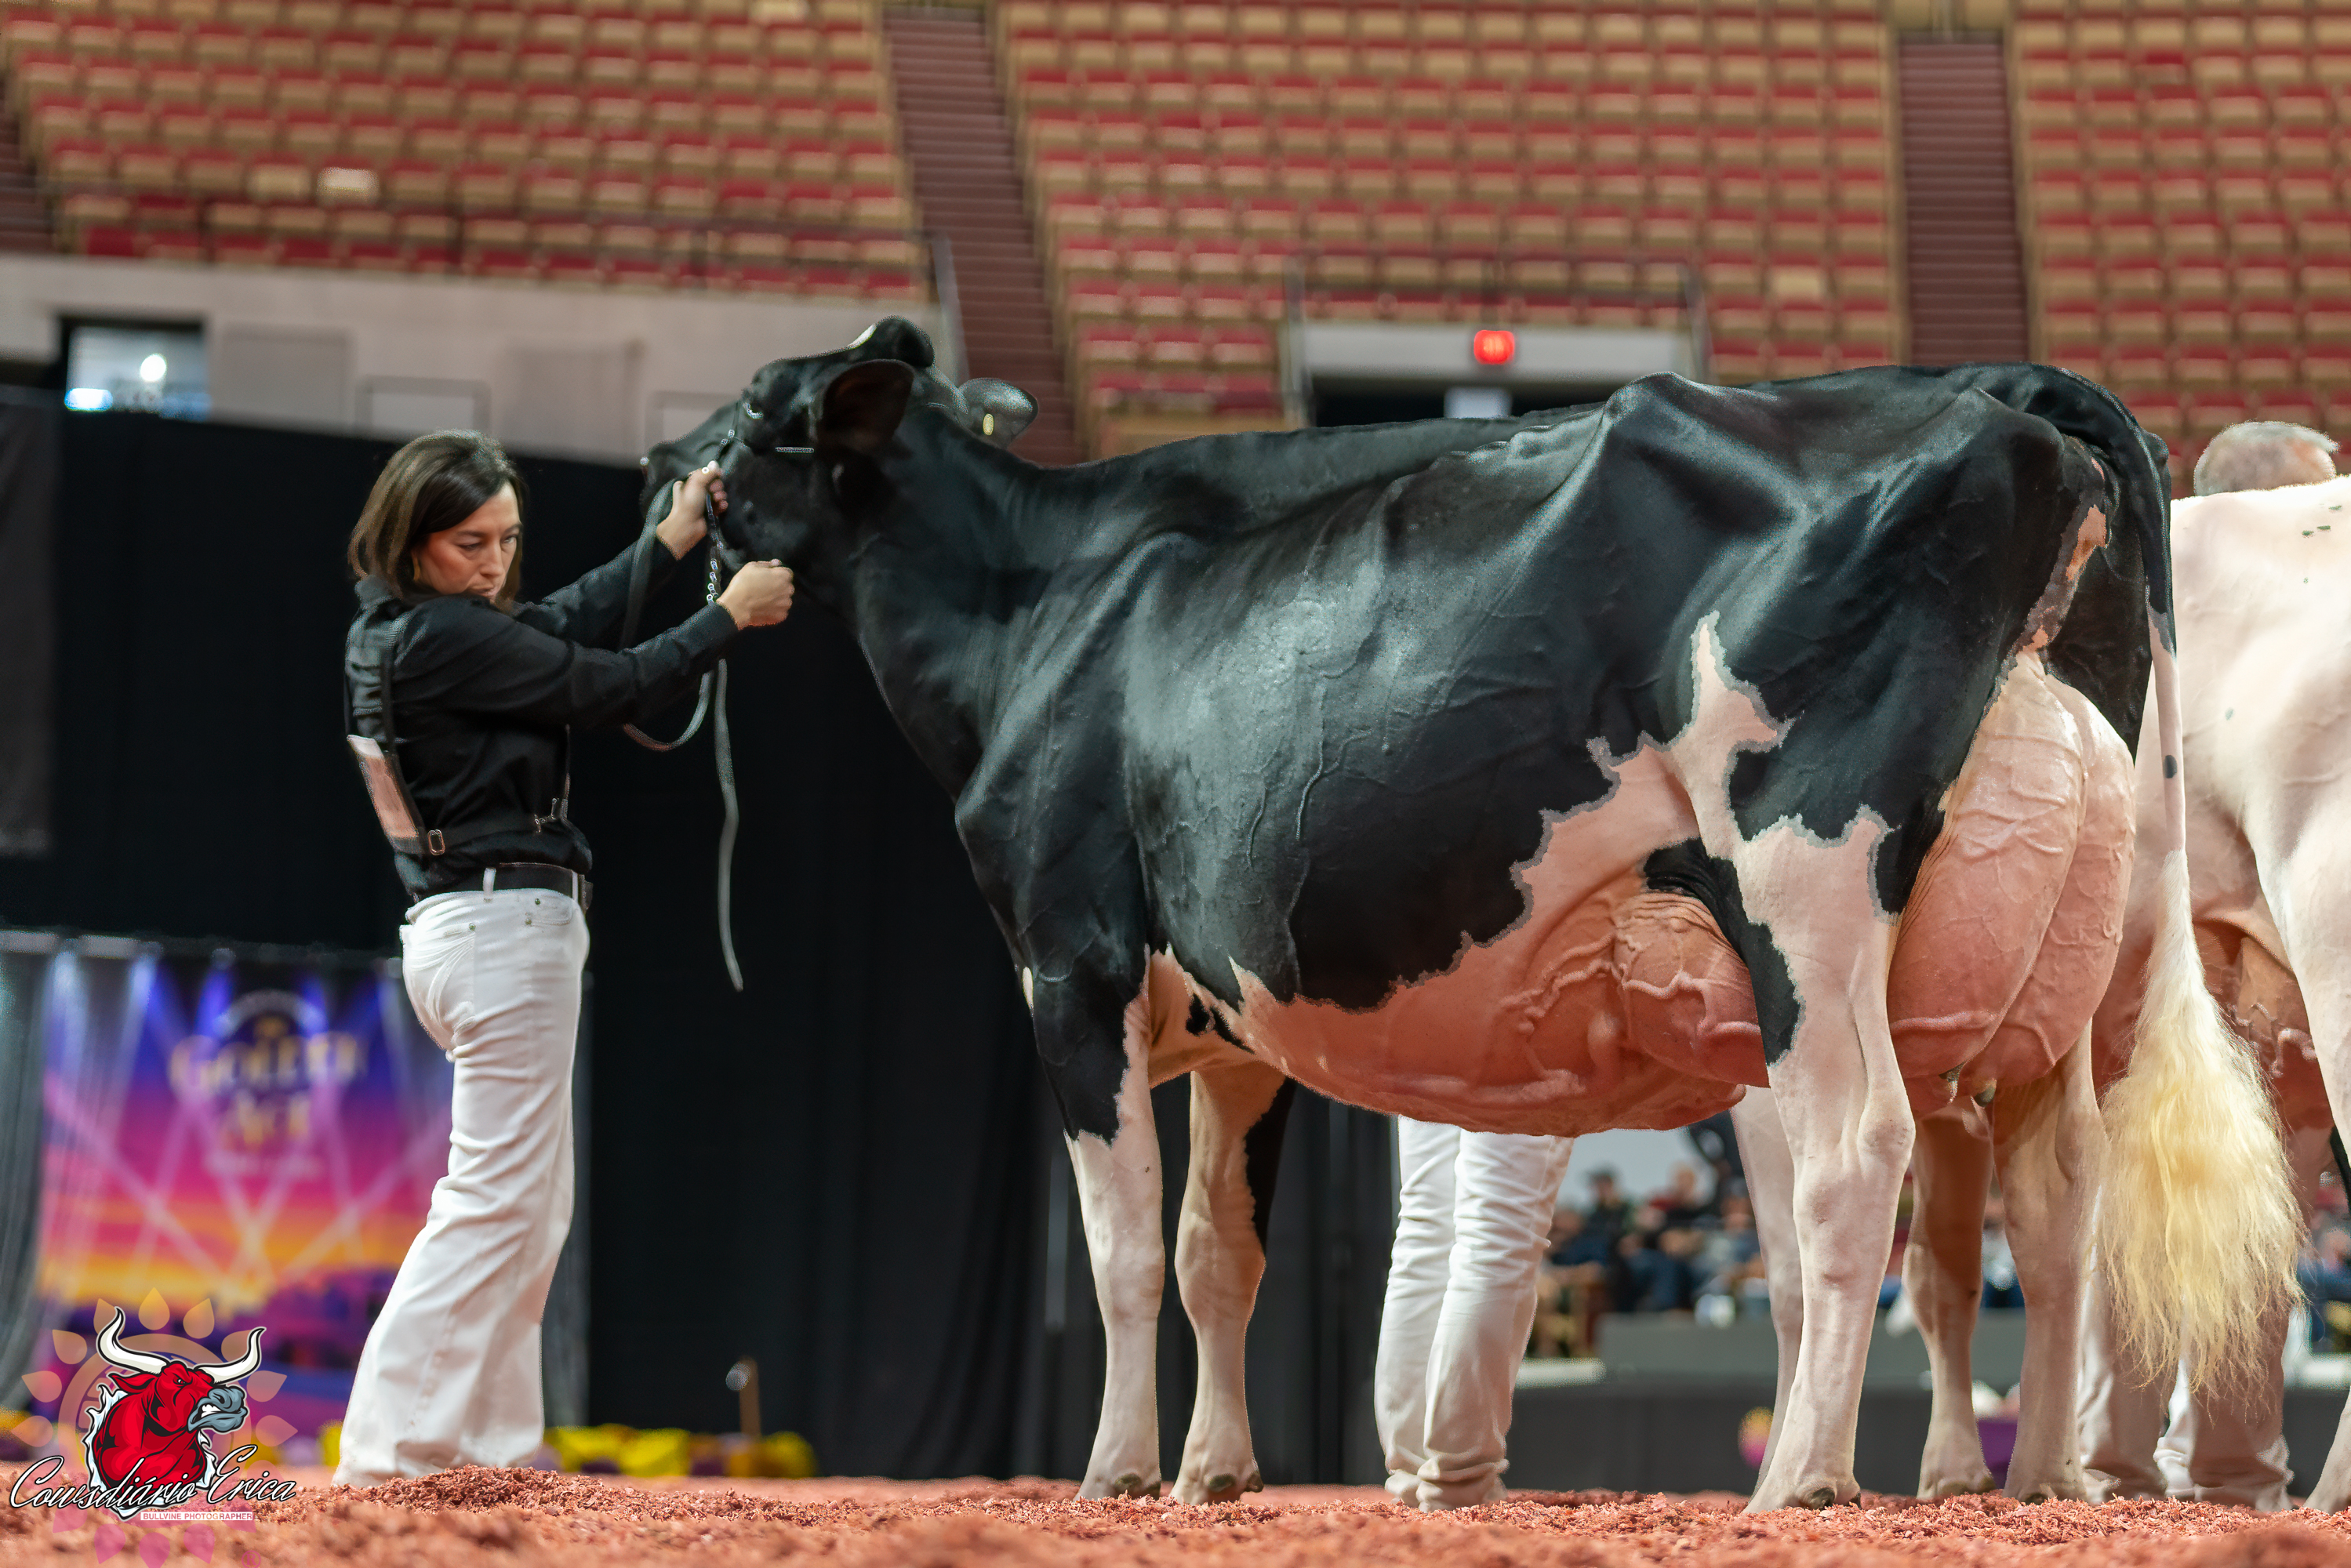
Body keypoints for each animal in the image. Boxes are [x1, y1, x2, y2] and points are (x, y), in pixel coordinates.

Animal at [646, 319, 2297, 1510]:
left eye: (747, 421)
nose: (662, 457)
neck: (1038, 610)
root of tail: (1999, 392)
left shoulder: (1071, 966)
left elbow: (1121, 1250)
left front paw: (1114, 1470)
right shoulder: (1232, 1022)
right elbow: (1214, 1249)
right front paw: (1212, 1472)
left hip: (1807, 886)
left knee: (1856, 1158)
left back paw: (1804, 1481)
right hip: (2087, 940)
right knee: (2056, 1198)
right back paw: (2038, 1484)